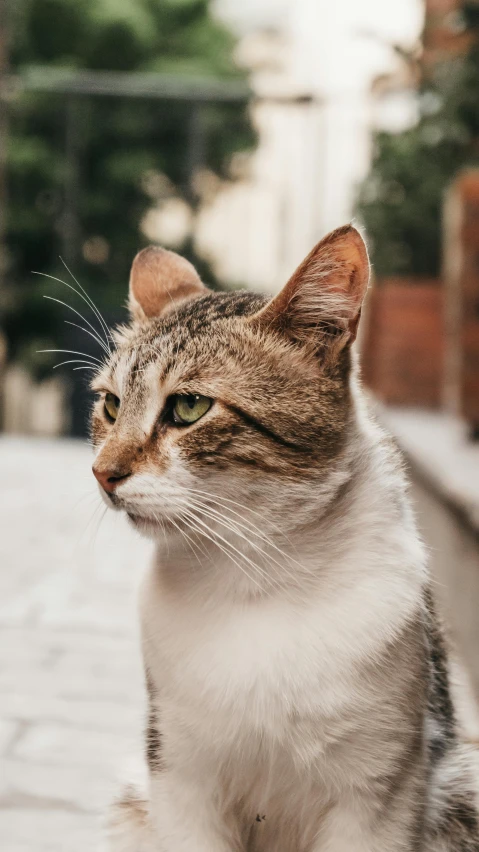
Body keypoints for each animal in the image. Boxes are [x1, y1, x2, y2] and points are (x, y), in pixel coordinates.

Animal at [91, 226, 479, 852]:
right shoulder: (179, 775)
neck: (257, 573)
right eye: (110, 404)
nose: (102, 472)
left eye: (189, 406)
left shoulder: (377, 792)